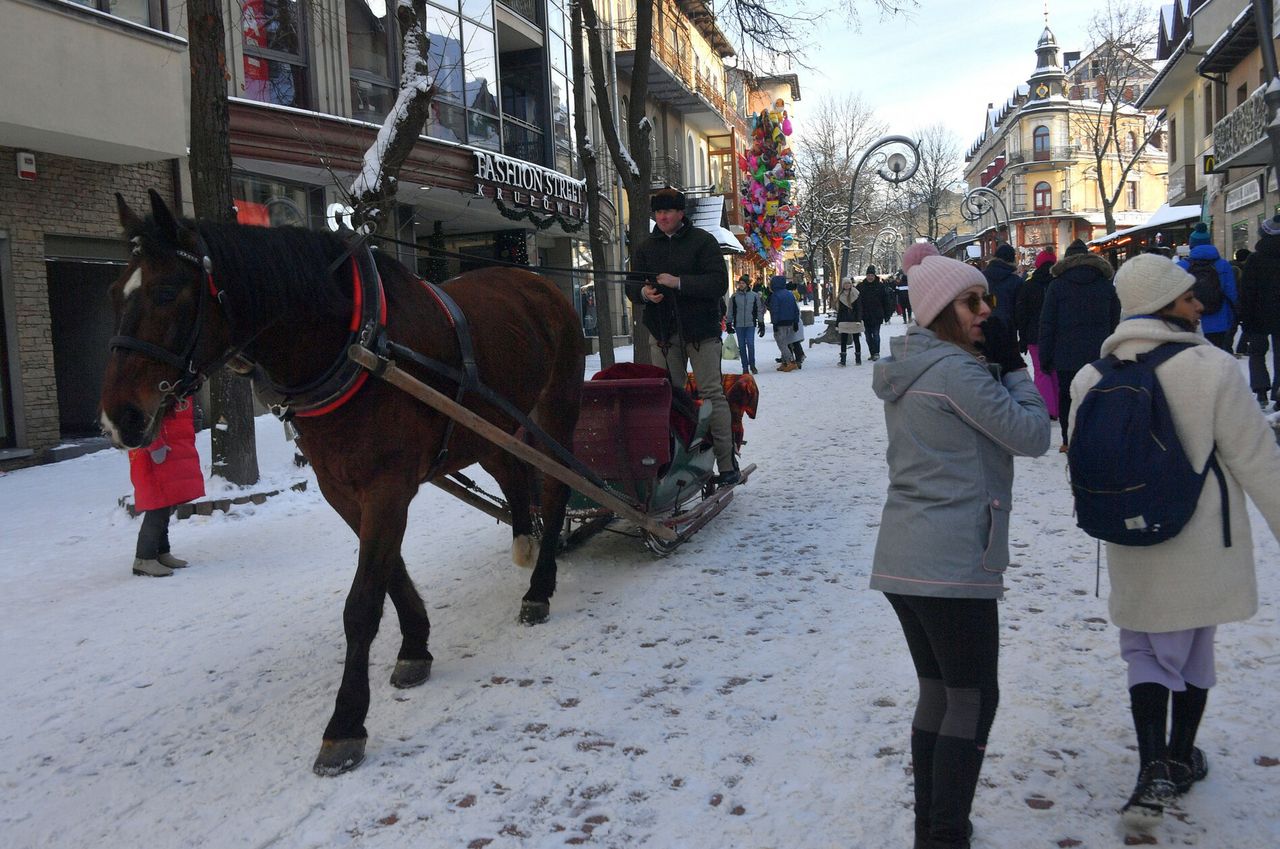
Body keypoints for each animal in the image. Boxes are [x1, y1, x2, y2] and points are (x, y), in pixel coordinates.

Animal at [99, 192, 586, 778]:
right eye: (113, 293)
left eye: (168, 292)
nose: (119, 418)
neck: (352, 342)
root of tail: (543, 285)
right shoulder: (343, 489)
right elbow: (389, 576)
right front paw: (415, 646)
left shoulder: (387, 487)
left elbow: (361, 604)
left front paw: (345, 723)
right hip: (485, 426)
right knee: (517, 477)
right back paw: (526, 541)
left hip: (553, 410)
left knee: (555, 491)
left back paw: (540, 585)